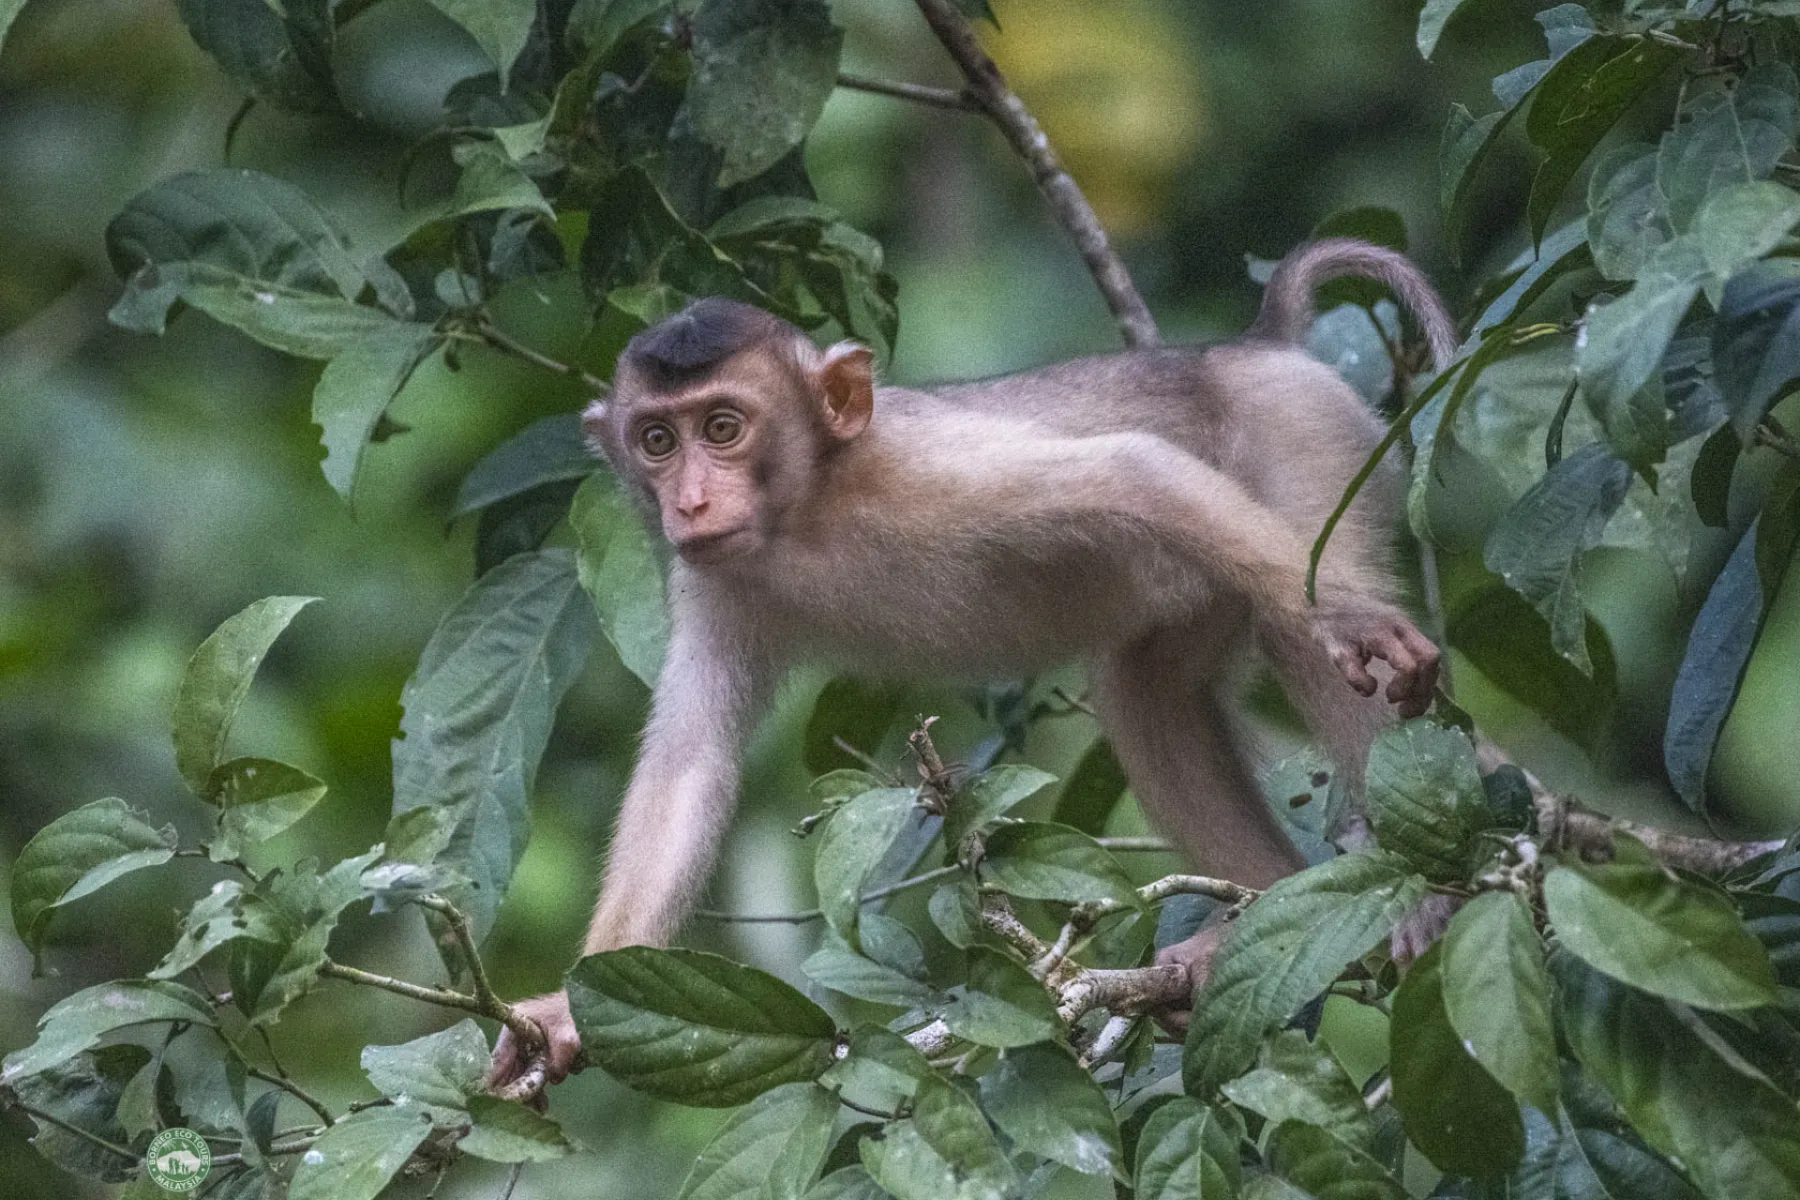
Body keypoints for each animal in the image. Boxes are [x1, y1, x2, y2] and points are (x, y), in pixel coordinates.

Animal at [484, 238, 1452, 1089]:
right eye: (657, 440)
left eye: (722, 427)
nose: (688, 500)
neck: (810, 508)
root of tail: (1256, 346)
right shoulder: (715, 581)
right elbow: (691, 766)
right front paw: (570, 1009)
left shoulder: (926, 472)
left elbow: (1131, 473)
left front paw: (1343, 614)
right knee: (1145, 689)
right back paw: (1258, 918)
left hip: (1309, 437)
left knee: (1302, 633)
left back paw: (1416, 892)